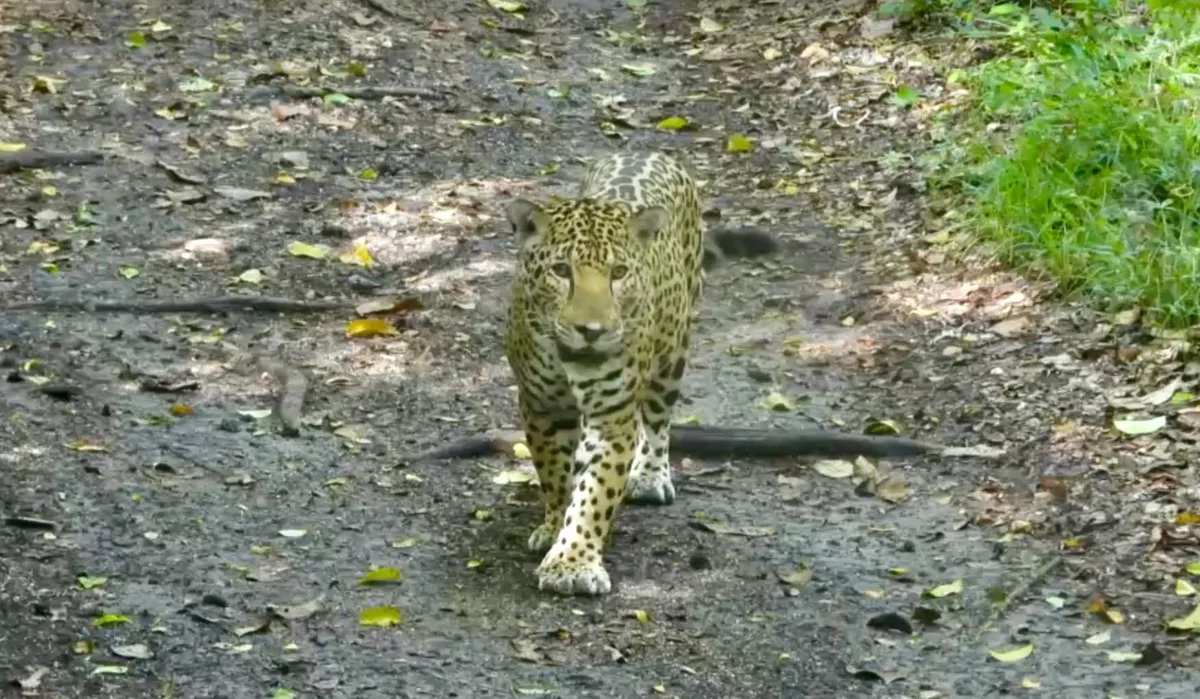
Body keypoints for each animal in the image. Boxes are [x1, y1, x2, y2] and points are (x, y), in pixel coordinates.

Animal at [503, 151, 748, 596]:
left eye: (618, 273)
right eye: (561, 271)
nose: (592, 330)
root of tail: (645, 150)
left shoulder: (612, 416)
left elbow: (595, 492)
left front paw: (573, 562)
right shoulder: (540, 407)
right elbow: (556, 475)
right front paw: (554, 527)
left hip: (672, 357)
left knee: (658, 421)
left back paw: (650, 477)